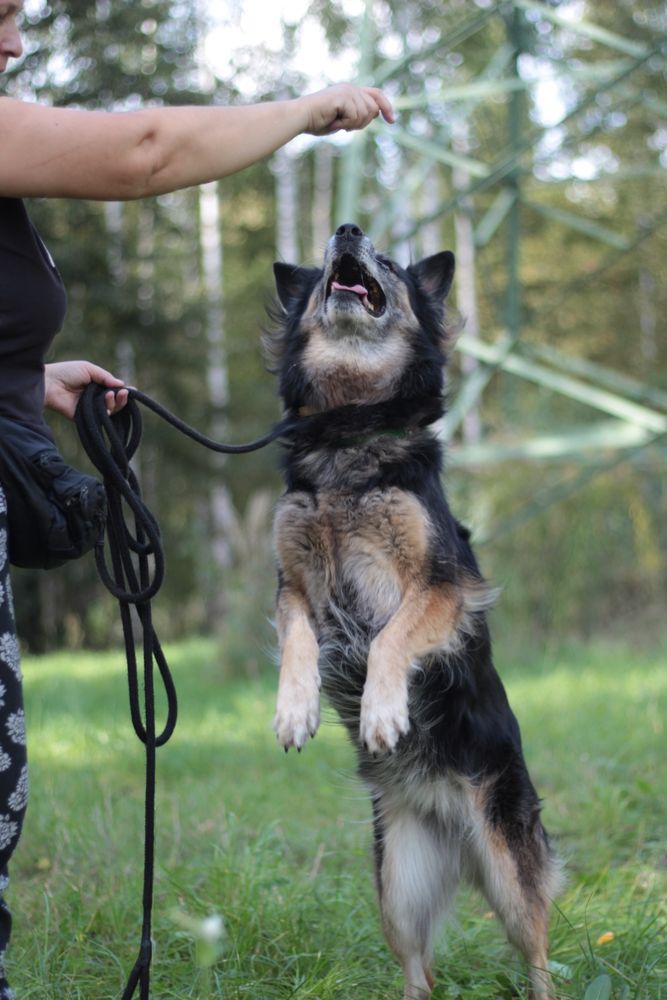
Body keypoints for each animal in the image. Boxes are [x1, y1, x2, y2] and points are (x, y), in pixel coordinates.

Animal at [266, 225, 564, 1000]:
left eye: (391, 264)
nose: (346, 230)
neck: (350, 429)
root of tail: (446, 819)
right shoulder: (292, 585)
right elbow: (299, 644)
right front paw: (294, 711)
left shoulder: (442, 585)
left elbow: (389, 640)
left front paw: (381, 712)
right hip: (398, 884)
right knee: (418, 969)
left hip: (508, 865)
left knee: (537, 954)